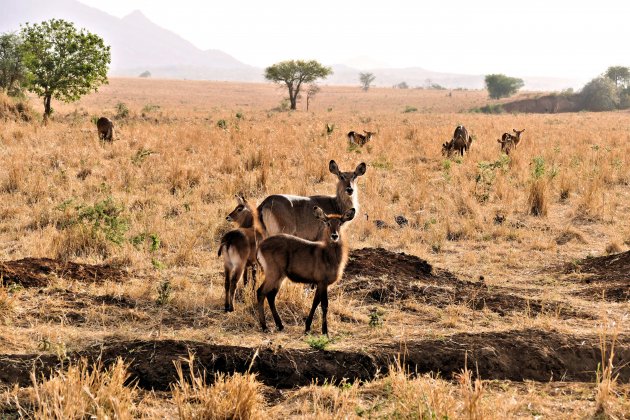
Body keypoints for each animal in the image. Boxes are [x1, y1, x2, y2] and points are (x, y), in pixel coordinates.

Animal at [256, 206, 356, 334]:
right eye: (327, 223)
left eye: (340, 223)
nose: (334, 236)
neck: (328, 255)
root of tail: (260, 246)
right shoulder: (323, 282)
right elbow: (324, 305)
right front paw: (325, 331)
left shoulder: (319, 284)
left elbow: (315, 303)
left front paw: (307, 327)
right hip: (273, 274)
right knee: (260, 292)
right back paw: (264, 326)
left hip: (280, 277)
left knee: (271, 296)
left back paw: (280, 325)